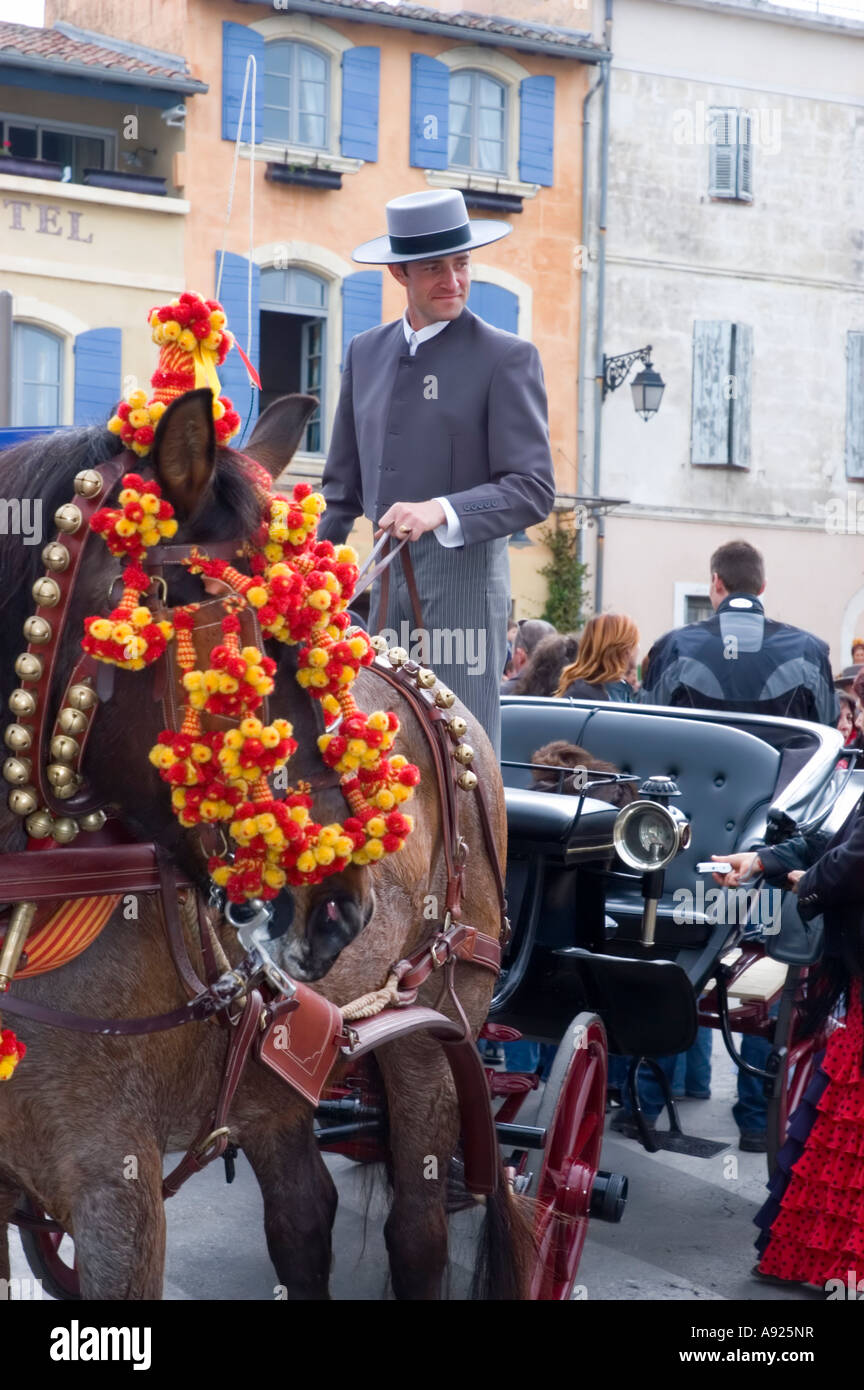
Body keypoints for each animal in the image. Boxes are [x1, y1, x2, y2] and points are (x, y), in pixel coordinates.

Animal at [0, 386, 536, 1295]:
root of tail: (434, 687)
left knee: (418, 1228)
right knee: (301, 1214)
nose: (341, 911)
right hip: (278, 1070)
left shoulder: (114, 1184)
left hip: (435, 1028)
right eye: (235, 637)